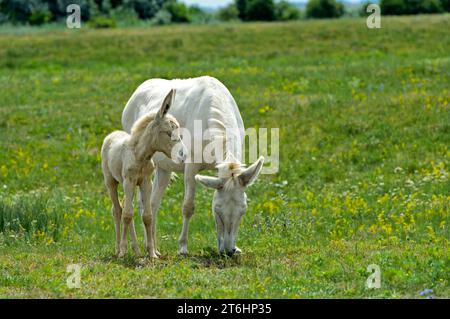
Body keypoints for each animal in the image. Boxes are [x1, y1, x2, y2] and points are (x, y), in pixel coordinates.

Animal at [102, 89, 186, 258]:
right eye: (168, 133)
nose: (182, 157)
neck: (140, 155)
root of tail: (111, 134)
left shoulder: (146, 182)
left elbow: (147, 216)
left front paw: (152, 253)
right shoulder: (129, 180)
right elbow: (127, 214)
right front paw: (122, 252)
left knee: (126, 207)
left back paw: (136, 250)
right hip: (111, 181)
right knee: (117, 210)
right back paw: (118, 249)